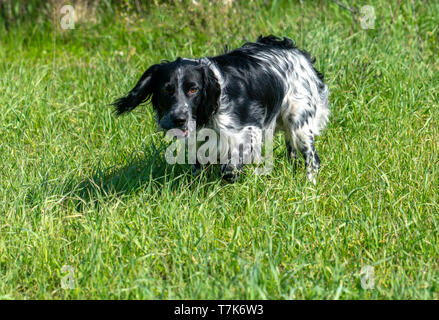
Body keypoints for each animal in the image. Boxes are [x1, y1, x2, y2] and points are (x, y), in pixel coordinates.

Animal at [113, 35, 330, 182]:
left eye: (193, 89)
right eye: (167, 90)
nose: (179, 118)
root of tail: (296, 51)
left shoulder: (246, 131)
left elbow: (229, 168)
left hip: (298, 121)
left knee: (313, 158)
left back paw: (309, 184)